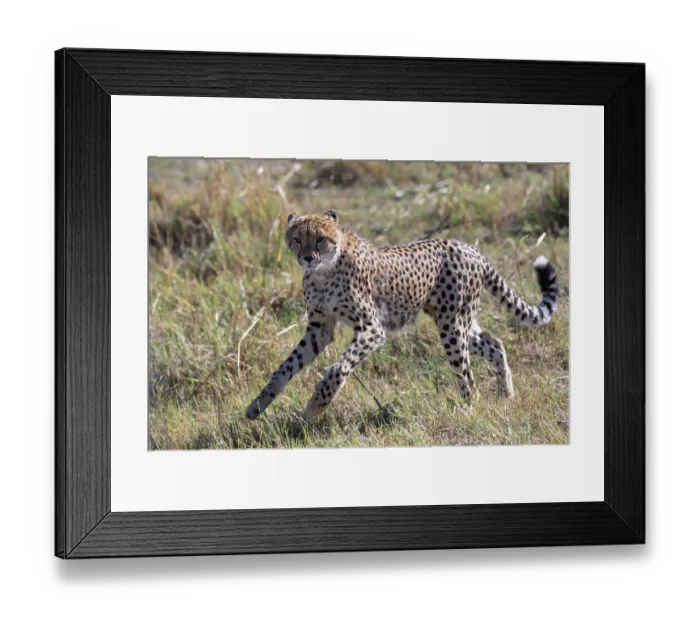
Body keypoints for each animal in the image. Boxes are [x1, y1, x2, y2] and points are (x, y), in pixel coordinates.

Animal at [245, 209, 559, 421]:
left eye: (321, 239)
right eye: (297, 239)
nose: (307, 258)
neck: (324, 271)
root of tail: (468, 246)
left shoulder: (372, 330)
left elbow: (338, 368)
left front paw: (315, 406)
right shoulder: (319, 330)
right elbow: (285, 366)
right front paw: (259, 403)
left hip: (452, 325)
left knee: (467, 375)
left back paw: (470, 409)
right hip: (457, 322)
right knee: (496, 344)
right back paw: (506, 395)